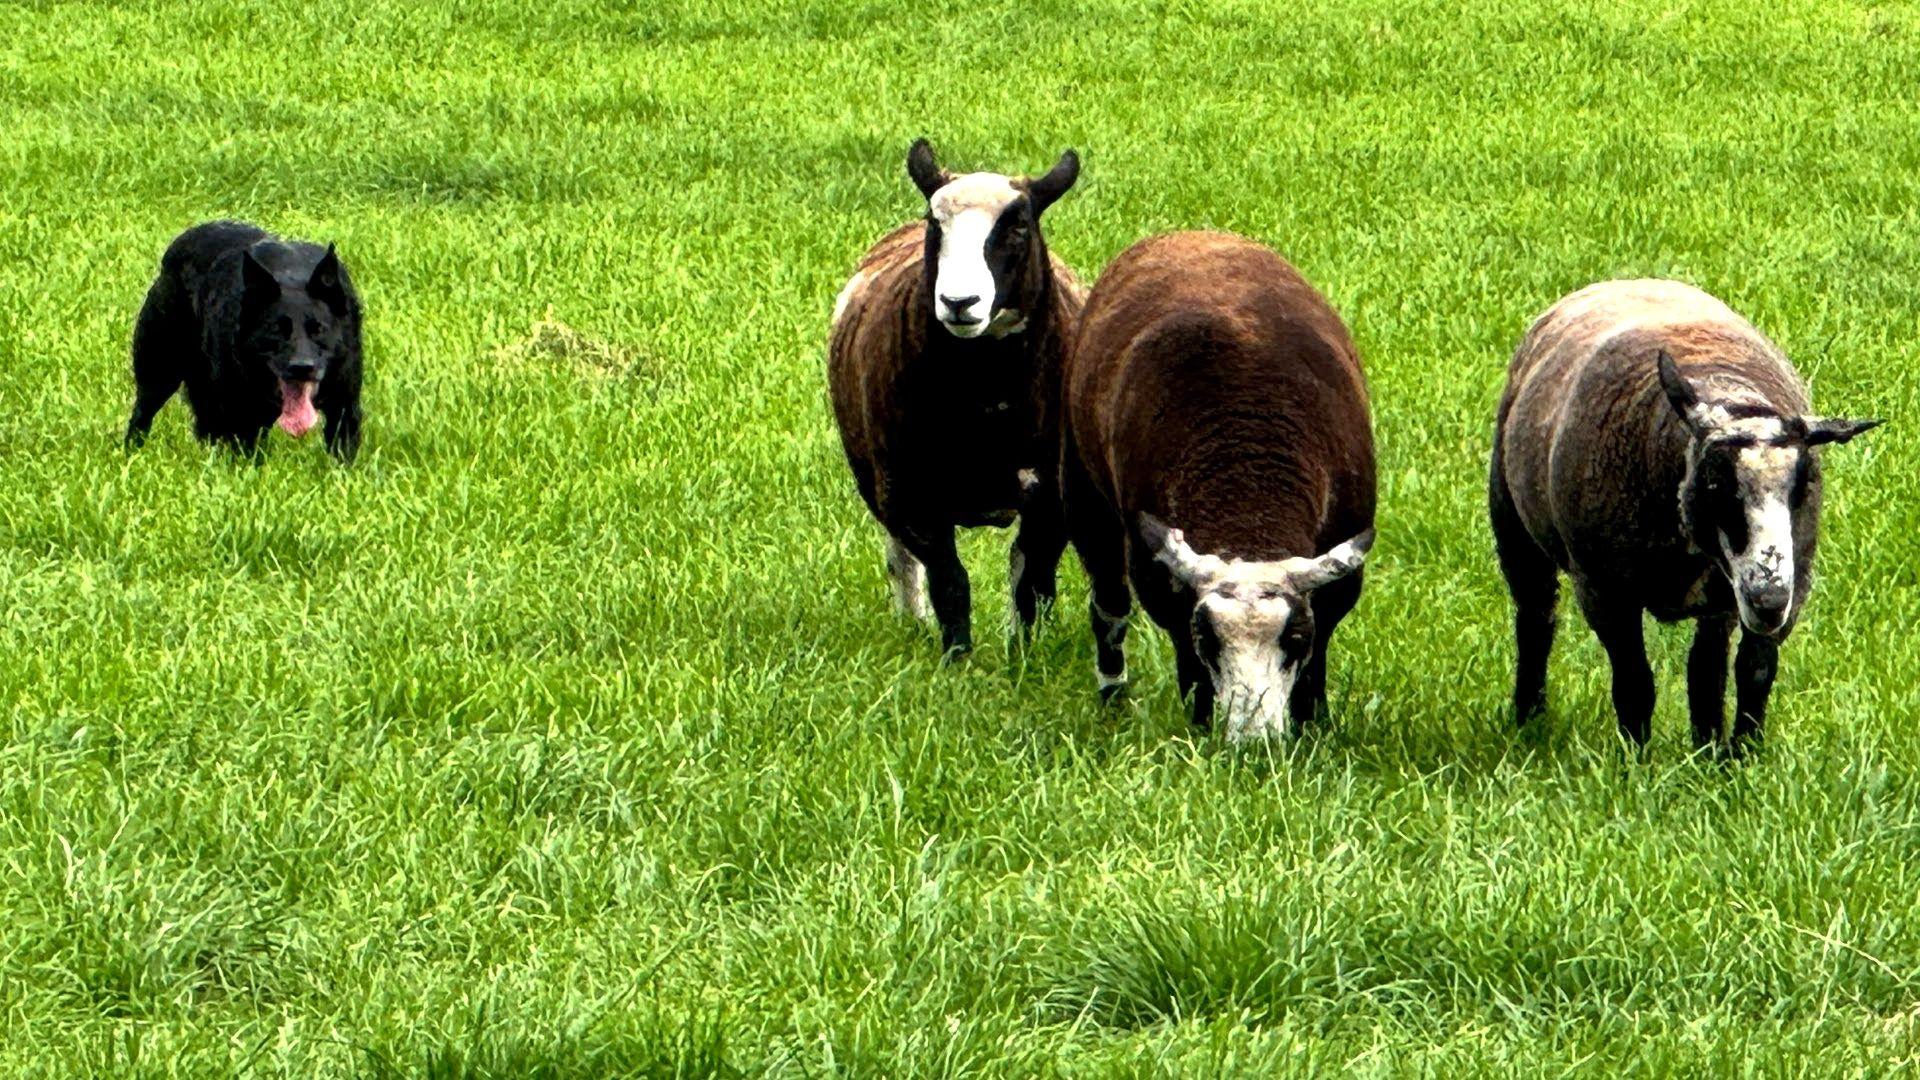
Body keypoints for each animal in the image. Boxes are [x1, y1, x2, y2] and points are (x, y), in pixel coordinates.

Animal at [828, 140, 1083, 658]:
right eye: (934, 223)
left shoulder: (1053, 497)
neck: (988, 398)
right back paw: (912, 621)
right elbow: (950, 582)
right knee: (901, 560)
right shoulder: (912, 493)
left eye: (1019, 224)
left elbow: (1031, 581)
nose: (958, 302)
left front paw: (1024, 657)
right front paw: (957, 658)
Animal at [1060, 231, 1377, 742]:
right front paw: (1202, 720)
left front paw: (1313, 724)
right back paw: (1112, 695)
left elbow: (1322, 646)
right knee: (1108, 605)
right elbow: (1180, 644)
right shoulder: (1154, 573)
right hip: (1083, 491)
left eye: (1296, 638)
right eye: (1207, 639)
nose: (1254, 742)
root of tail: (1190, 234)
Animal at [1491, 279, 1882, 753]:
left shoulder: (1787, 585)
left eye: (1804, 484)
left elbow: (1752, 671)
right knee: (1535, 618)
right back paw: (1529, 718)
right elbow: (1635, 683)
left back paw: (1706, 745)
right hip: (1512, 521)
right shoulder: (1604, 590)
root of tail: (1630, 280)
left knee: (1705, 667)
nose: (1769, 600)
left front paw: (1739, 757)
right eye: (1714, 484)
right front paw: (1635, 760)